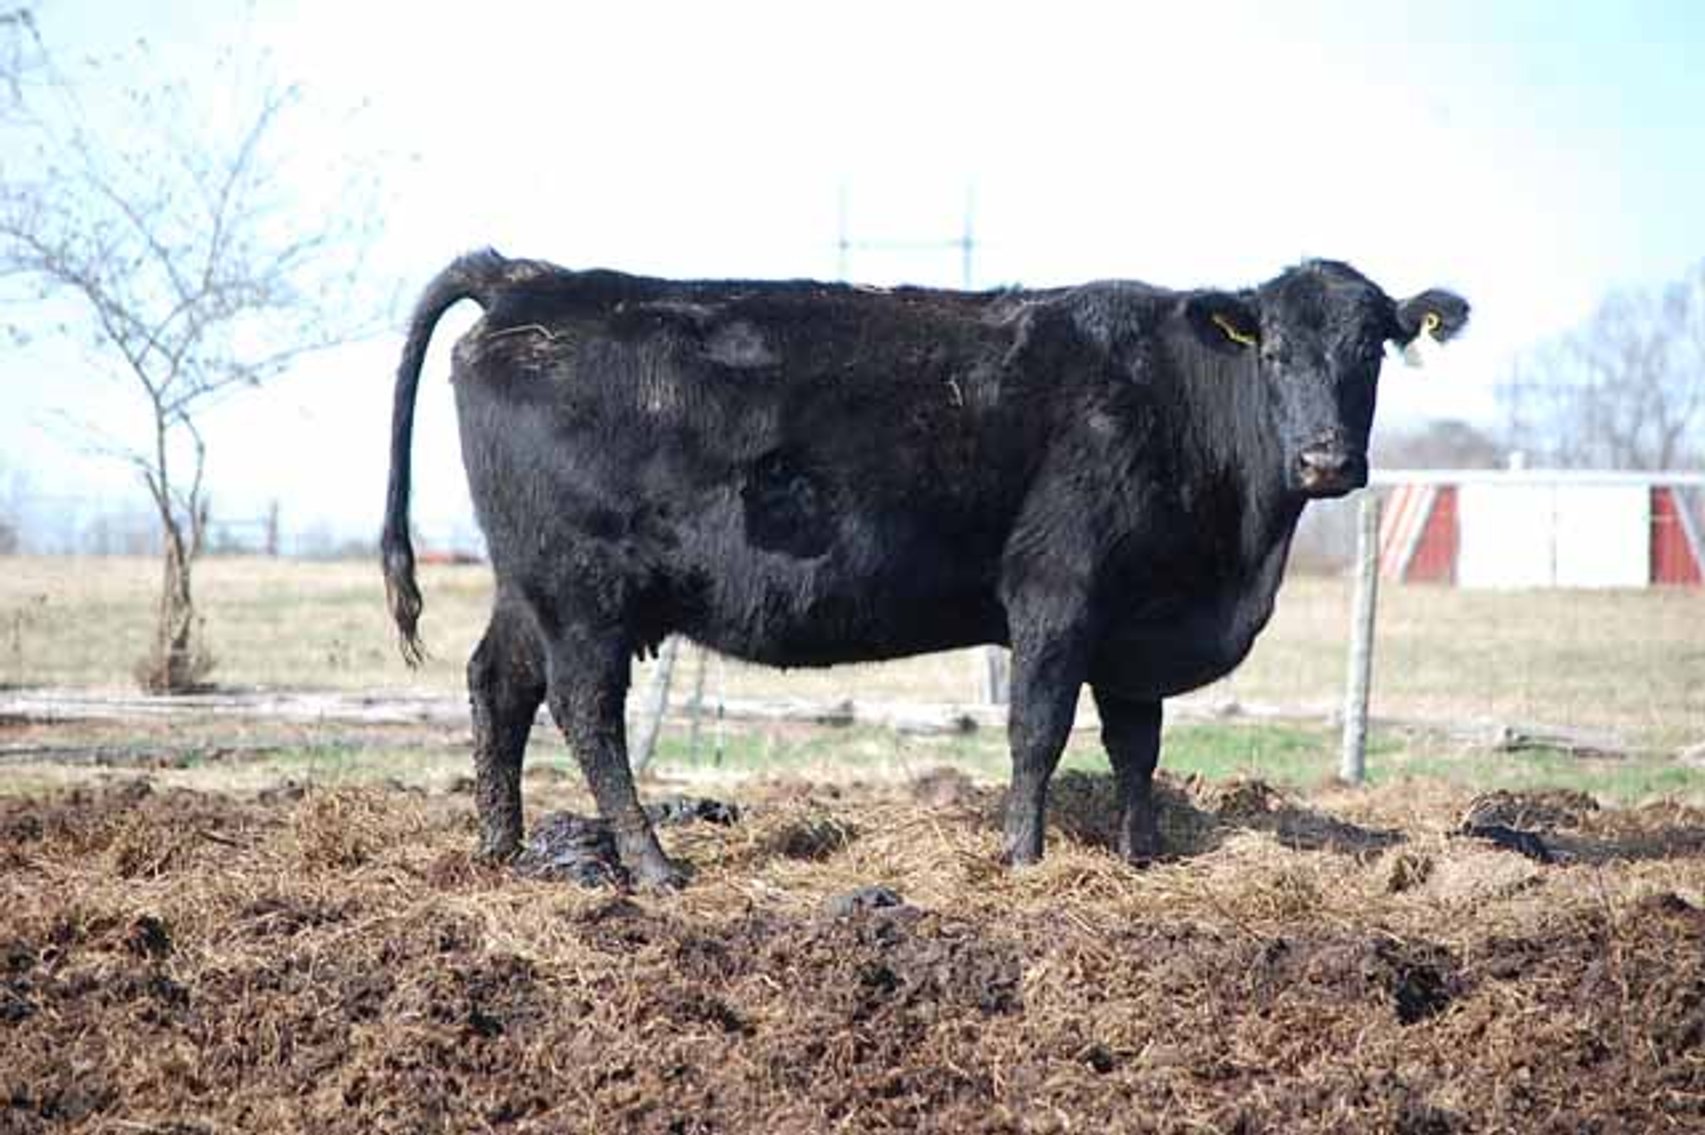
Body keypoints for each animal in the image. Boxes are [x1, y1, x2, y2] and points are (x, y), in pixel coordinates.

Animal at [381, 250, 1468, 888]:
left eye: (1370, 349)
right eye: (1273, 352)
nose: (1326, 460)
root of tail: (531, 278)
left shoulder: (1136, 621)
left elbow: (1136, 745)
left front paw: (1142, 855)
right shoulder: (1057, 593)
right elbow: (1037, 733)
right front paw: (1024, 857)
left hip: (531, 584)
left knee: (498, 683)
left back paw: (498, 846)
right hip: (586, 592)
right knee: (586, 712)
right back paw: (652, 865)